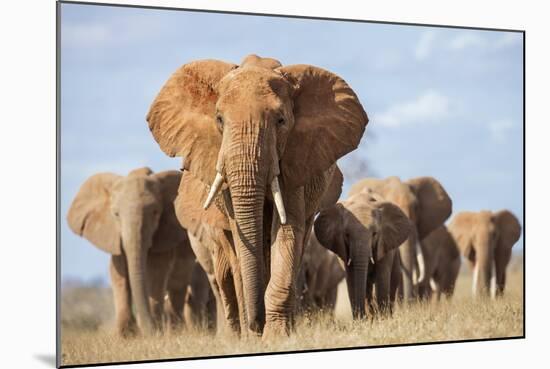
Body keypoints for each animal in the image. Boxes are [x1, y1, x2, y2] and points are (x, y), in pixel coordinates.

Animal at [66, 168, 193, 334]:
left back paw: (176, 331)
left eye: (155, 213)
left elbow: (156, 272)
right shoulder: (114, 237)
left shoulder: (163, 234)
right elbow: (118, 273)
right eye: (116, 214)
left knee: (178, 285)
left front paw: (154, 331)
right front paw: (125, 335)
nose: (147, 331)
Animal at [149, 53, 368, 338]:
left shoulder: (296, 159)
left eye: (281, 121)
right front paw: (254, 336)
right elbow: (241, 238)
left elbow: (287, 229)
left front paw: (275, 336)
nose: (256, 323)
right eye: (219, 119)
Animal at [314, 190, 414, 320]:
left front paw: (383, 319)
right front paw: (361, 321)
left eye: (375, 234)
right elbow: (352, 279)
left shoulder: (383, 244)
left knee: (392, 283)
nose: (361, 316)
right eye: (346, 234)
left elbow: (382, 279)